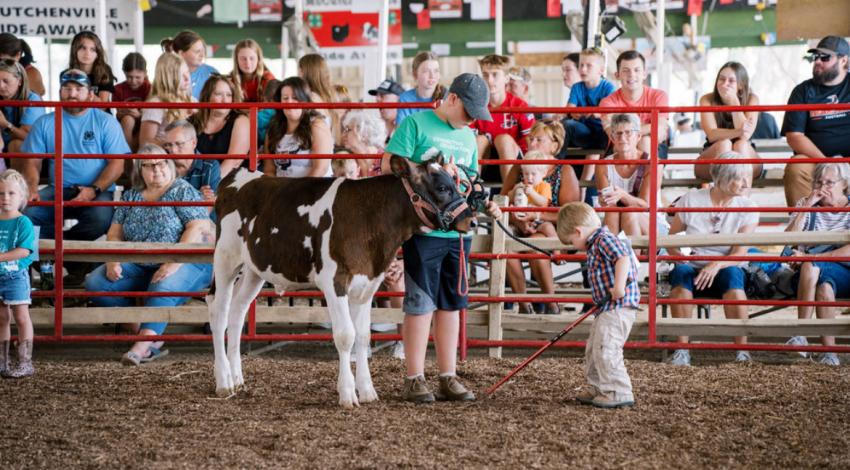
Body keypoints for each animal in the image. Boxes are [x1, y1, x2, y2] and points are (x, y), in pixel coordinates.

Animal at [206, 154, 478, 408]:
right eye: (442, 188)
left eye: (455, 183)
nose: (472, 220)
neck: (369, 218)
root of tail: (239, 175)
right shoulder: (334, 281)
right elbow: (346, 335)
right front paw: (347, 394)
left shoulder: (367, 284)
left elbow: (363, 335)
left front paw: (367, 391)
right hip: (225, 258)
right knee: (219, 312)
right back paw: (224, 382)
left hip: (255, 270)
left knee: (237, 311)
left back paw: (237, 378)